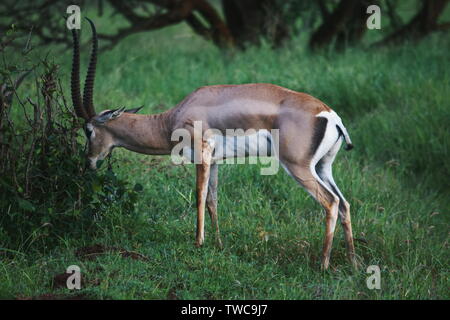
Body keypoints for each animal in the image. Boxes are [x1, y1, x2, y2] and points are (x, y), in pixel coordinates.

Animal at [71, 18, 356, 270]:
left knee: (330, 202)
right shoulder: (216, 161)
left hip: (297, 166)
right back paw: (352, 263)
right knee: (344, 203)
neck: (173, 117)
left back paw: (323, 264)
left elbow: (198, 196)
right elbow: (212, 200)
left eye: (88, 130)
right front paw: (218, 244)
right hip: (322, 167)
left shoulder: (202, 155)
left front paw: (198, 242)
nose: (89, 161)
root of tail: (329, 115)